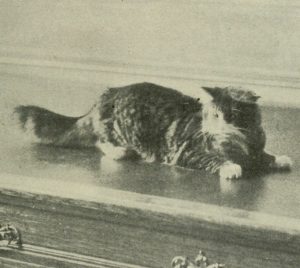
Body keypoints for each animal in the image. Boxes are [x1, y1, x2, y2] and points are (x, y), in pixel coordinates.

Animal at [14, 81, 292, 178]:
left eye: (230, 116)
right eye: (212, 116)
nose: (217, 128)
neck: (242, 141)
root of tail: (107, 94)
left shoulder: (256, 147)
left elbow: (264, 155)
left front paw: (280, 159)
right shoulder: (190, 152)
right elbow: (215, 159)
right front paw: (231, 168)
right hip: (115, 128)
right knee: (99, 141)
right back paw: (120, 152)